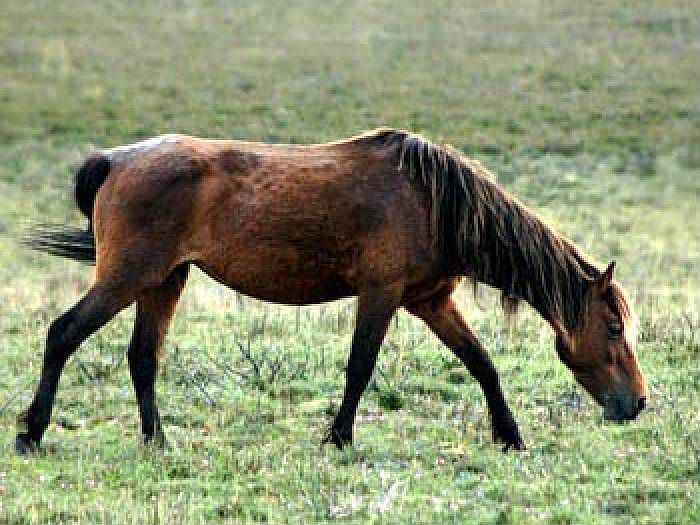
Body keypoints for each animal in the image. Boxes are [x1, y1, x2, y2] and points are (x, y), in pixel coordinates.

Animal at [18, 128, 648, 455]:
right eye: (614, 327)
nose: (637, 403)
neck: (434, 203)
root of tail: (112, 160)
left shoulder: (431, 301)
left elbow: (482, 364)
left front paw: (510, 436)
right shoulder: (381, 295)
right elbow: (360, 367)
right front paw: (339, 438)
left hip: (163, 280)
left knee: (143, 357)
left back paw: (157, 442)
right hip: (126, 277)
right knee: (62, 334)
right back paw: (31, 433)